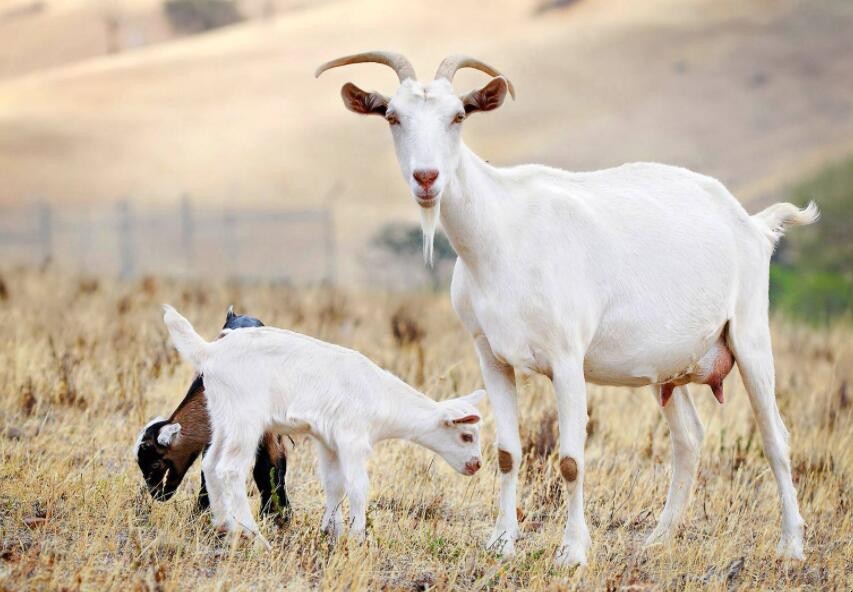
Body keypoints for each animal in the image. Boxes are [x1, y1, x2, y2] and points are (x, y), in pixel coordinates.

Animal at [318, 49, 820, 564]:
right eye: (393, 117)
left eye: (458, 116)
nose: (426, 178)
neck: (503, 233)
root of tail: (753, 224)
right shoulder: (491, 356)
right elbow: (508, 453)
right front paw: (502, 541)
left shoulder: (566, 358)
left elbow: (571, 460)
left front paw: (573, 552)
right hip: (667, 367)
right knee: (689, 439)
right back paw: (658, 539)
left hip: (749, 334)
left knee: (775, 437)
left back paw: (791, 544)